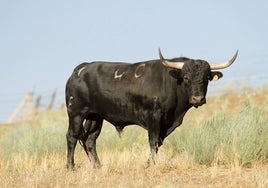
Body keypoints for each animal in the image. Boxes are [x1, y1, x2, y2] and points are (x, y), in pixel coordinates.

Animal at [66, 48, 238, 169]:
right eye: (186, 78)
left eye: (206, 78)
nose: (198, 99)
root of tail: (81, 69)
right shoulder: (153, 117)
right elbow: (153, 142)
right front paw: (150, 165)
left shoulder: (166, 124)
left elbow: (158, 143)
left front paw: (149, 164)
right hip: (76, 113)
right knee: (72, 136)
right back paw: (70, 167)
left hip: (95, 116)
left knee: (90, 139)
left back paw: (98, 166)